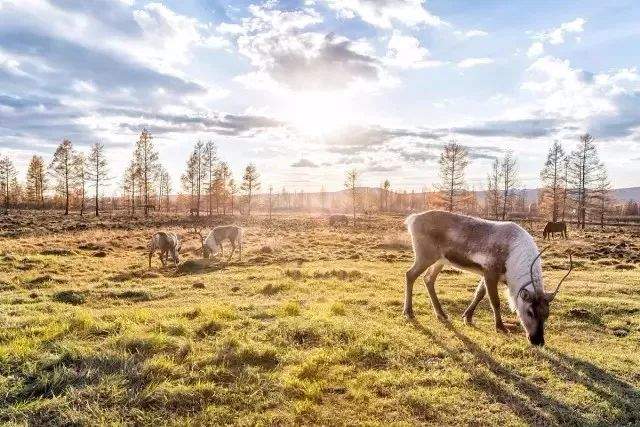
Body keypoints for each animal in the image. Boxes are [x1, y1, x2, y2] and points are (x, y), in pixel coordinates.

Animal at [402, 211, 572, 348]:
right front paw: (501, 327)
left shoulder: (487, 273)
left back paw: (441, 314)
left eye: (547, 314)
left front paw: (467, 317)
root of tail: (412, 219)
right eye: (530, 312)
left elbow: (479, 294)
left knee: (428, 279)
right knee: (410, 274)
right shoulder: (491, 271)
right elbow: (494, 301)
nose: (538, 341)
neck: (513, 260)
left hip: (440, 260)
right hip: (425, 255)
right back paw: (409, 312)